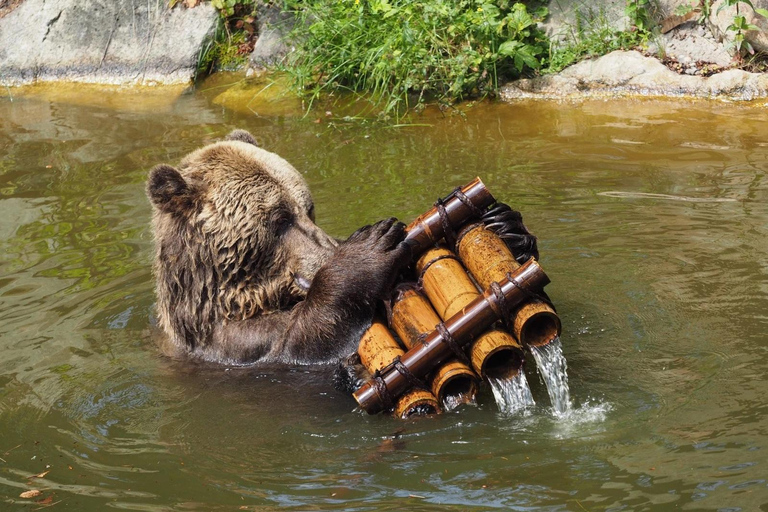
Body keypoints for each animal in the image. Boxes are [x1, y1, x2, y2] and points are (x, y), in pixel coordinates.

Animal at [146, 129, 412, 367]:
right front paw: (367, 251)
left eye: (308, 208)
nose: (328, 251)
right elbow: (302, 340)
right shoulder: (236, 345)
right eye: (282, 219)